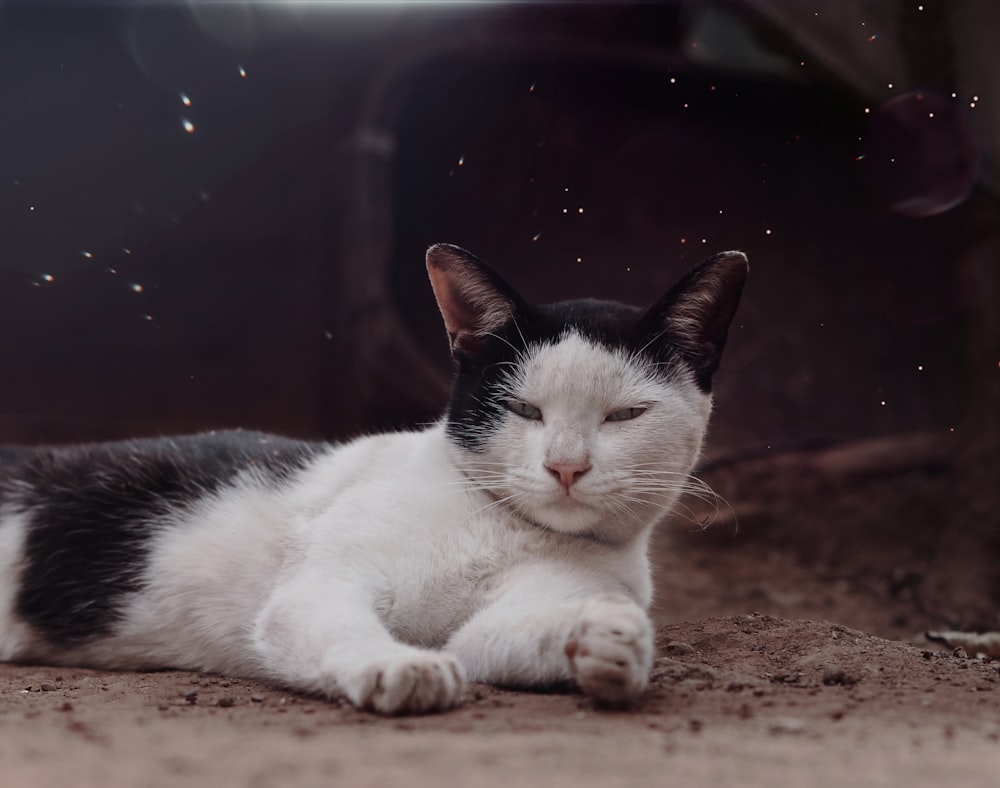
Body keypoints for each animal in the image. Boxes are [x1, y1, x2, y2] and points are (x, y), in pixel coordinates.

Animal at [0, 245, 748, 716]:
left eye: (625, 414)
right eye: (524, 409)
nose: (566, 466)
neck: (496, 525)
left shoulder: (496, 625)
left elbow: (497, 638)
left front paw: (604, 644)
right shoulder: (318, 587)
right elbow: (341, 624)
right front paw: (397, 667)